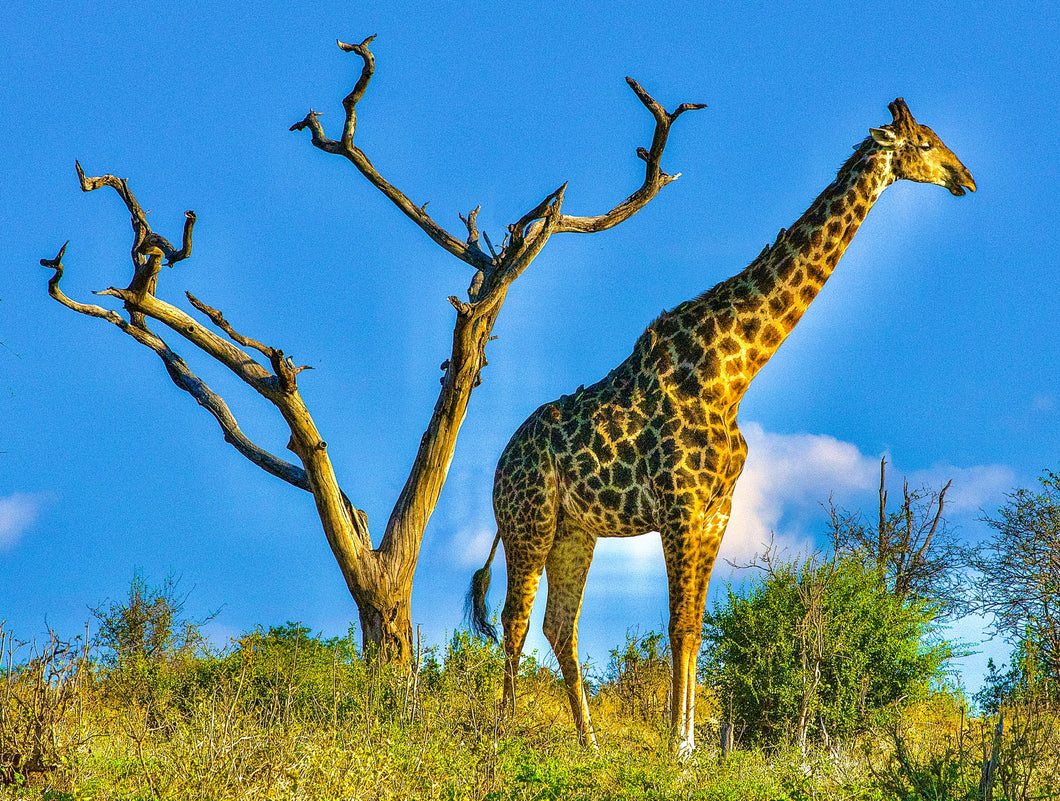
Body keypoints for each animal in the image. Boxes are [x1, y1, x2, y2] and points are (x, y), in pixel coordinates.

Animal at [468, 96, 970, 754]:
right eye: (927, 143)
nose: (966, 179)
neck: (733, 370)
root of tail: (499, 464)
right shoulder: (680, 508)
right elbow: (679, 623)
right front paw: (677, 747)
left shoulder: (716, 510)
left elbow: (696, 626)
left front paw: (686, 742)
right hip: (530, 522)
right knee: (516, 617)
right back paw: (500, 735)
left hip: (576, 530)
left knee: (559, 624)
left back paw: (589, 743)